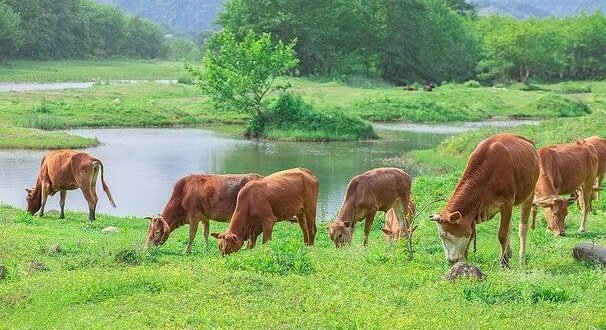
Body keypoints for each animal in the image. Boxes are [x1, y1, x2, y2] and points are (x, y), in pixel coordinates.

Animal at [430, 134, 540, 266]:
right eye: (441, 237)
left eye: (447, 235)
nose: (451, 261)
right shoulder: (471, 215)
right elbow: (471, 237)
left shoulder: (507, 203)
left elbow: (502, 235)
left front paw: (504, 263)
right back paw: (509, 253)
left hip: (529, 193)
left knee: (522, 228)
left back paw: (521, 258)